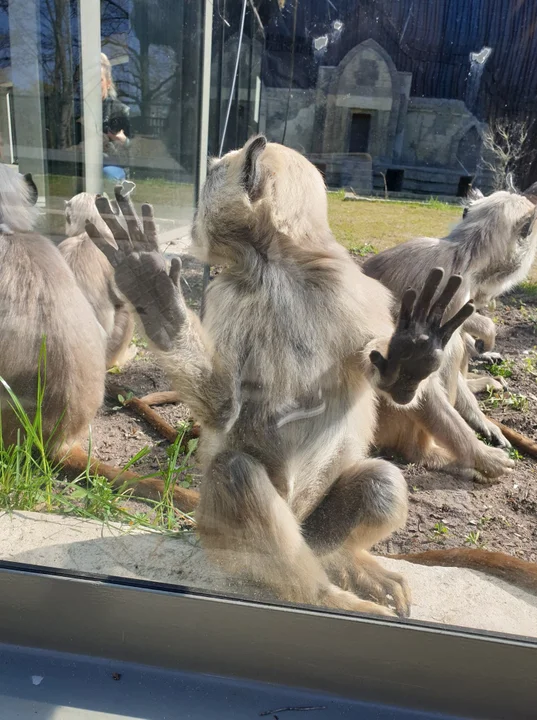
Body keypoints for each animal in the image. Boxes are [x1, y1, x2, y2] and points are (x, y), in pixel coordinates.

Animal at [86, 136, 476, 620]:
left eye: (211, 177)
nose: (194, 218)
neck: (276, 267)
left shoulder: (349, 288)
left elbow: (391, 387)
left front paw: (411, 357)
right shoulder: (227, 291)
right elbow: (225, 408)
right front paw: (154, 293)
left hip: (312, 526)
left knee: (379, 484)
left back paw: (341, 564)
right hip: (221, 538)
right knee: (235, 474)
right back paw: (324, 593)